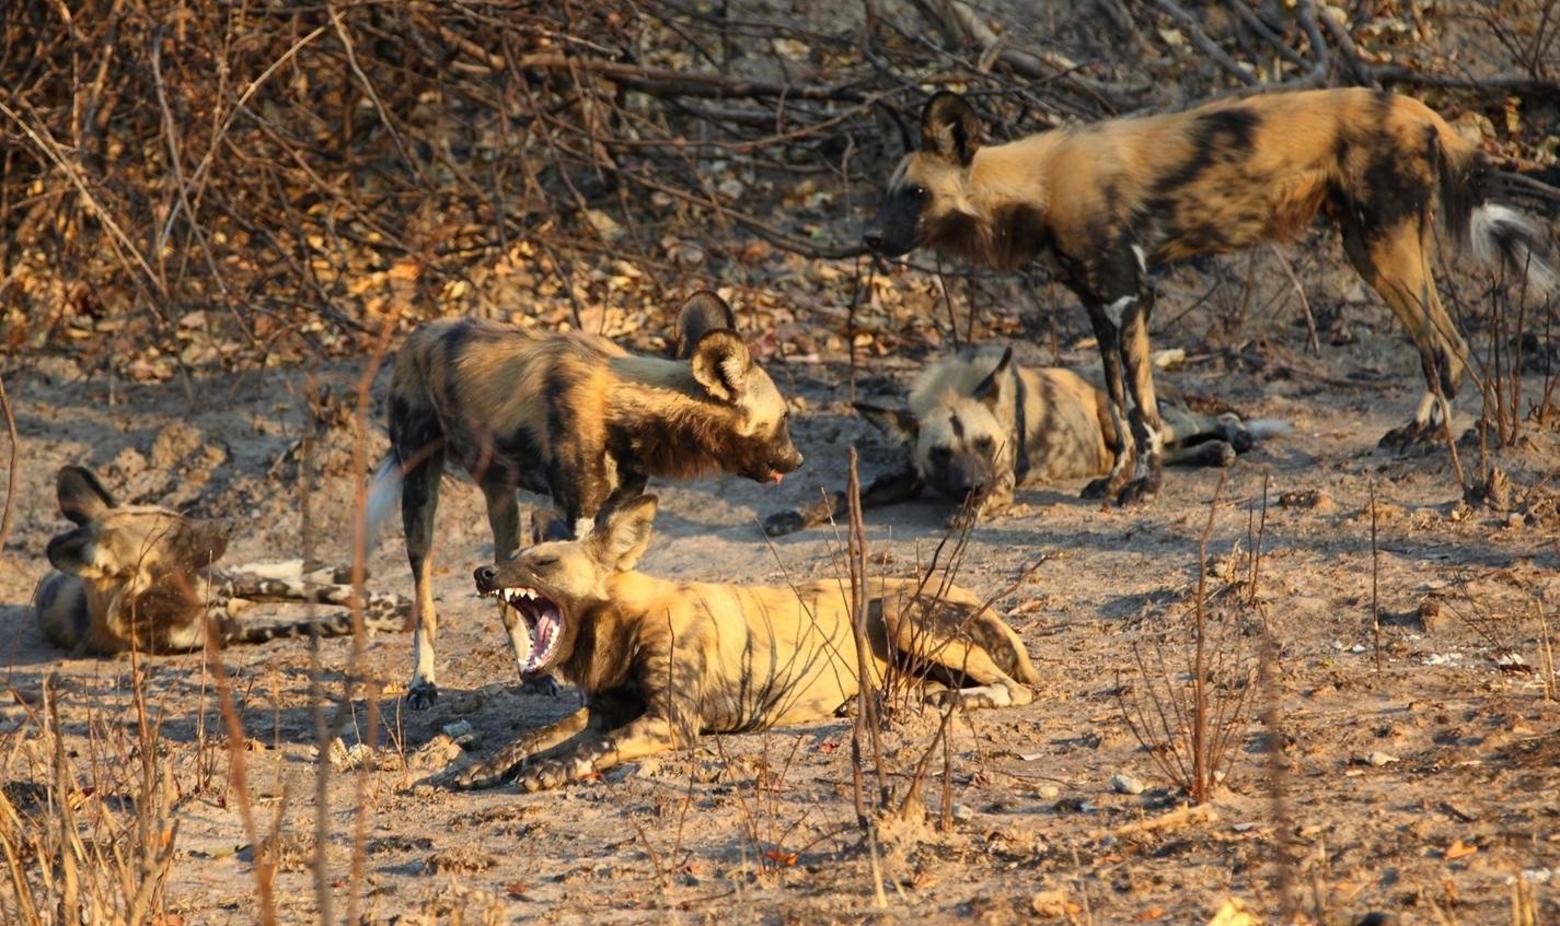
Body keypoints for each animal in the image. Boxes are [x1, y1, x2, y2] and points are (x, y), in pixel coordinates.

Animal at [31, 464, 408, 651]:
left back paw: (333, 570)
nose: (228, 524)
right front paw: (381, 615)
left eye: (180, 515)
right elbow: (316, 621)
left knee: (261, 572)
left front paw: (386, 606)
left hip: (230, 579)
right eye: (175, 535)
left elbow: (321, 595)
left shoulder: (230, 586)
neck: (171, 597)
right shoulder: (230, 631)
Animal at [368, 289, 804, 707]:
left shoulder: (619, 509)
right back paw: (423, 684)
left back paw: (532, 676)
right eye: (784, 418)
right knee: (425, 604)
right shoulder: (578, 512)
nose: (798, 461)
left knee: (505, 595)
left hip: (502, 499)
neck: (625, 410)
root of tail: (420, 331)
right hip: (420, 495)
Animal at [446, 492, 1042, 788]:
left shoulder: (669, 722)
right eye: (511, 558)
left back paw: (940, 702)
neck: (623, 621)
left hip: (900, 612)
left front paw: (547, 772)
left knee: (1016, 689)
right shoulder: (605, 710)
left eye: (543, 564)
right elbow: (539, 735)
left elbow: (591, 748)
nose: (483, 573)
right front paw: (486, 766)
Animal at [758, 344, 1279, 533]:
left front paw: (965, 513)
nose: (973, 485)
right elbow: (842, 495)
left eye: (986, 445)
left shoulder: (1003, 481)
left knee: (1198, 422)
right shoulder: (908, 476)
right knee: (1163, 452)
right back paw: (1214, 452)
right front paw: (793, 516)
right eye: (942, 454)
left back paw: (1235, 437)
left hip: (1125, 415)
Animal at [867, 86, 1560, 505]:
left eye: (918, 194)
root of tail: (1419, 108)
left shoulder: (1129, 299)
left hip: (1384, 249)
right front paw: (1113, 481)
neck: (1035, 185)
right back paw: (1418, 430)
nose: (871, 237)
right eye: (889, 192)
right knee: (1445, 339)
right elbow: (1117, 404)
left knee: (1442, 343)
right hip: (1373, 252)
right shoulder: (1099, 310)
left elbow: (1142, 414)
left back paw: (1432, 437)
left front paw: (1142, 487)